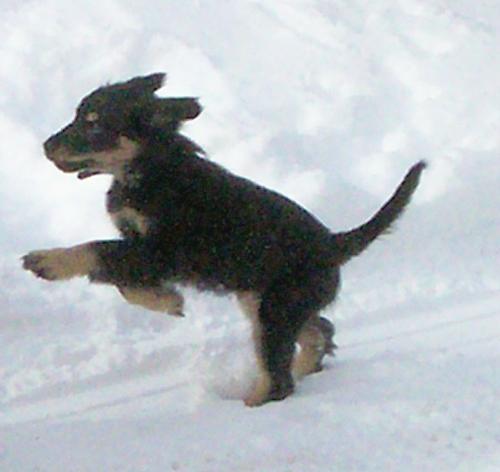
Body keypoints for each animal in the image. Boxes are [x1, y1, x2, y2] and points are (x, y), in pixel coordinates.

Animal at [22, 74, 426, 406]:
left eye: (94, 123)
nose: (45, 146)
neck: (149, 168)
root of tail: (334, 244)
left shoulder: (160, 250)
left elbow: (97, 251)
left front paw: (47, 261)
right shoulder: (144, 251)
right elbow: (125, 284)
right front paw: (168, 302)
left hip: (276, 307)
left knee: (279, 377)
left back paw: (251, 403)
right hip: (263, 300)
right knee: (318, 330)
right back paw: (302, 368)